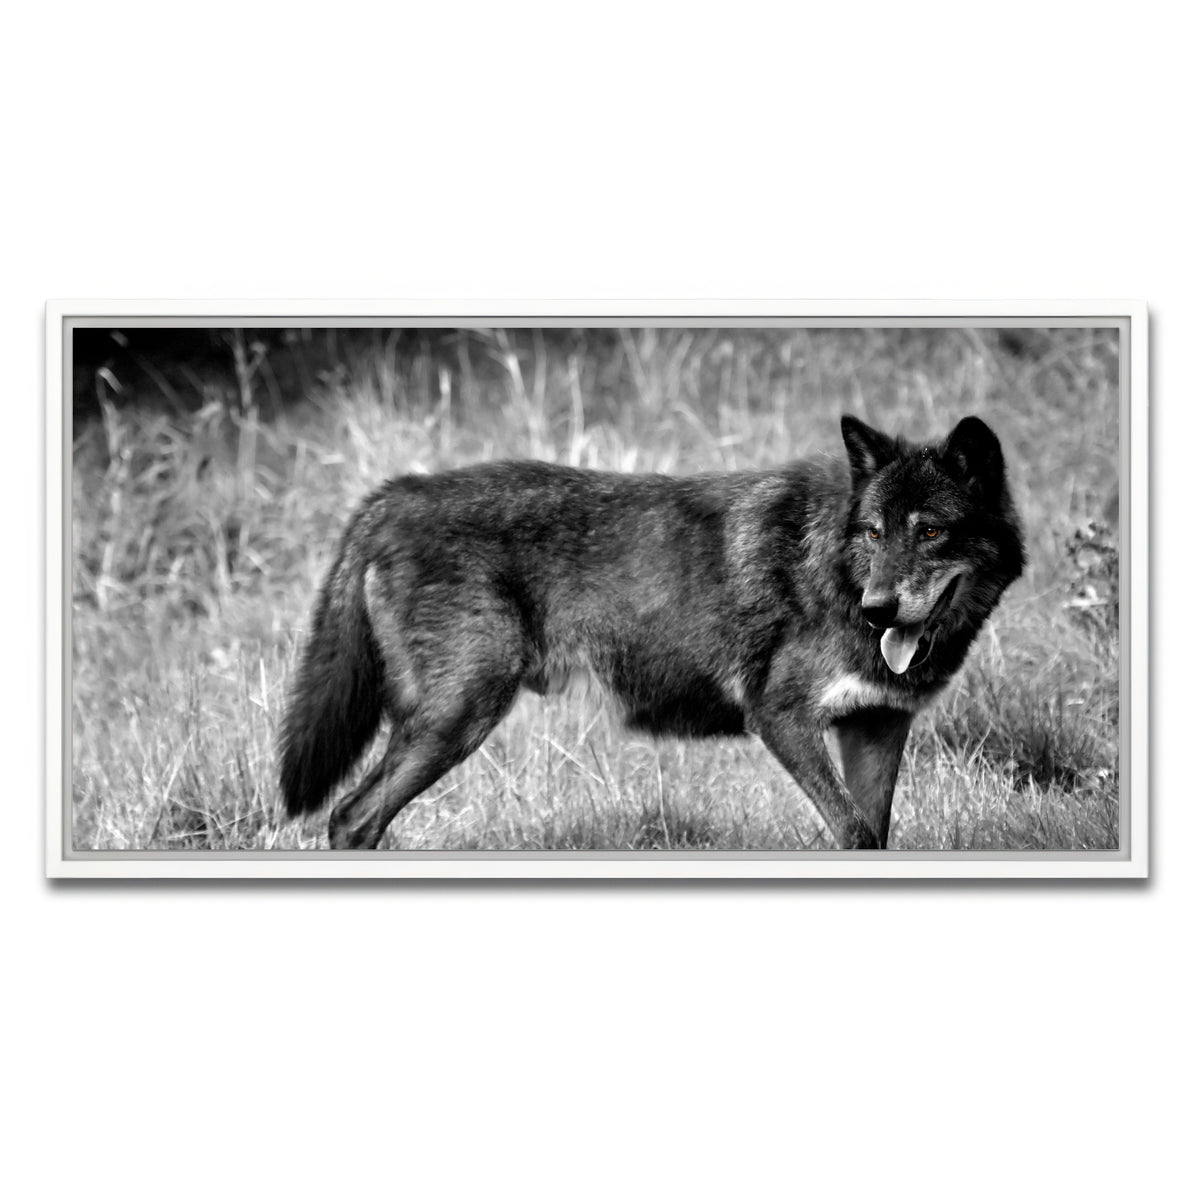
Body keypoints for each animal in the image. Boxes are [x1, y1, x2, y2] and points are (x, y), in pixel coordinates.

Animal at [279, 415, 1024, 850]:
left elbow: (871, 833)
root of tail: (395, 493)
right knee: (350, 817)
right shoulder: (779, 718)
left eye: (930, 532)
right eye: (873, 532)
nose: (879, 610)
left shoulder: (876, 726)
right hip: (458, 717)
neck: (834, 570)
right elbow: (849, 829)